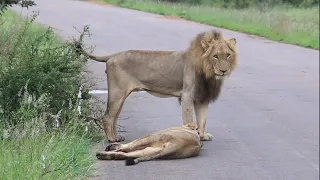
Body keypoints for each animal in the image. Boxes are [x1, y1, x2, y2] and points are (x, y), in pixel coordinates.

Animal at [77, 29, 238, 142]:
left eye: (228, 55)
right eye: (215, 56)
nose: (224, 71)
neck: (208, 73)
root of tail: (113, 55)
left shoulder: (202, 97)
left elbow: (202, 120)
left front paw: (203, 136)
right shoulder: (187, 95)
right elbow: (189, 118)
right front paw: (192, 134)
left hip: (121, 96)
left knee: (114, 117)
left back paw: (116, 137)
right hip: (117, 93)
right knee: (107, 117)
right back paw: (111, 139)